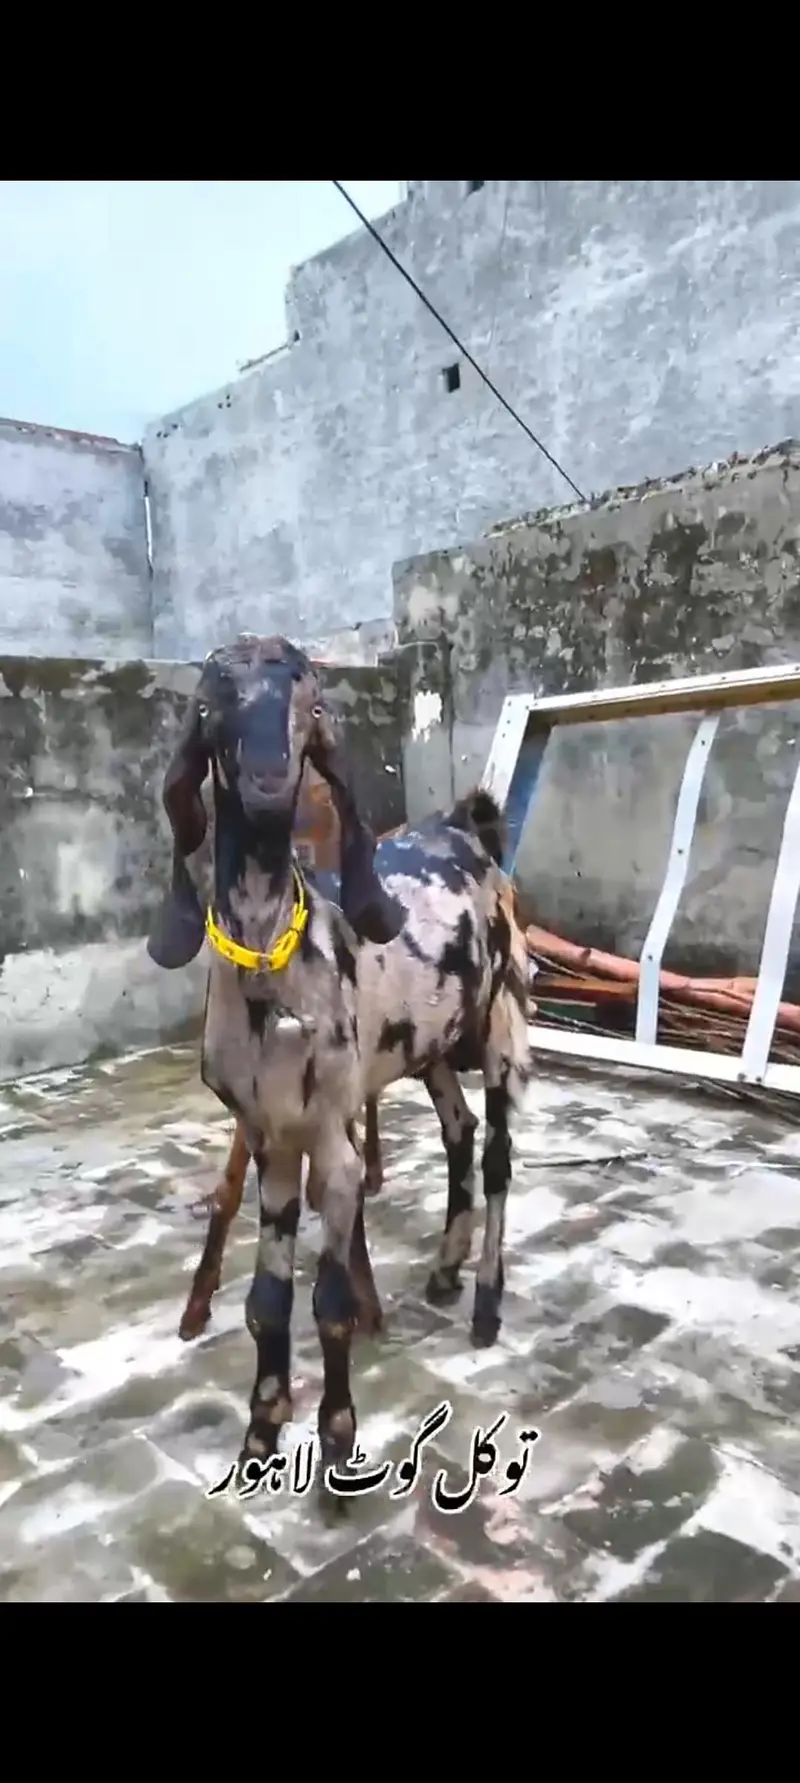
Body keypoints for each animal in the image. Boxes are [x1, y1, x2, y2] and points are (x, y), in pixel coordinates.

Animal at [147, 633, 530, 1479]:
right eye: (209, 703)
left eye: (314, 702)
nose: (267, 784)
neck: (272, 964)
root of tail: (468, 827)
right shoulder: (271, 1138)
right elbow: (266, 1301)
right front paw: (263, 1424)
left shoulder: (332, 1141)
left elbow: (329, 1301)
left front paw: (338, 1429)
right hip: (428, 1044)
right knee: (457, 1131)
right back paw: (445, 1269)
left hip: (502, 1021)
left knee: (496, 1155)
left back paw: (486, 1301)